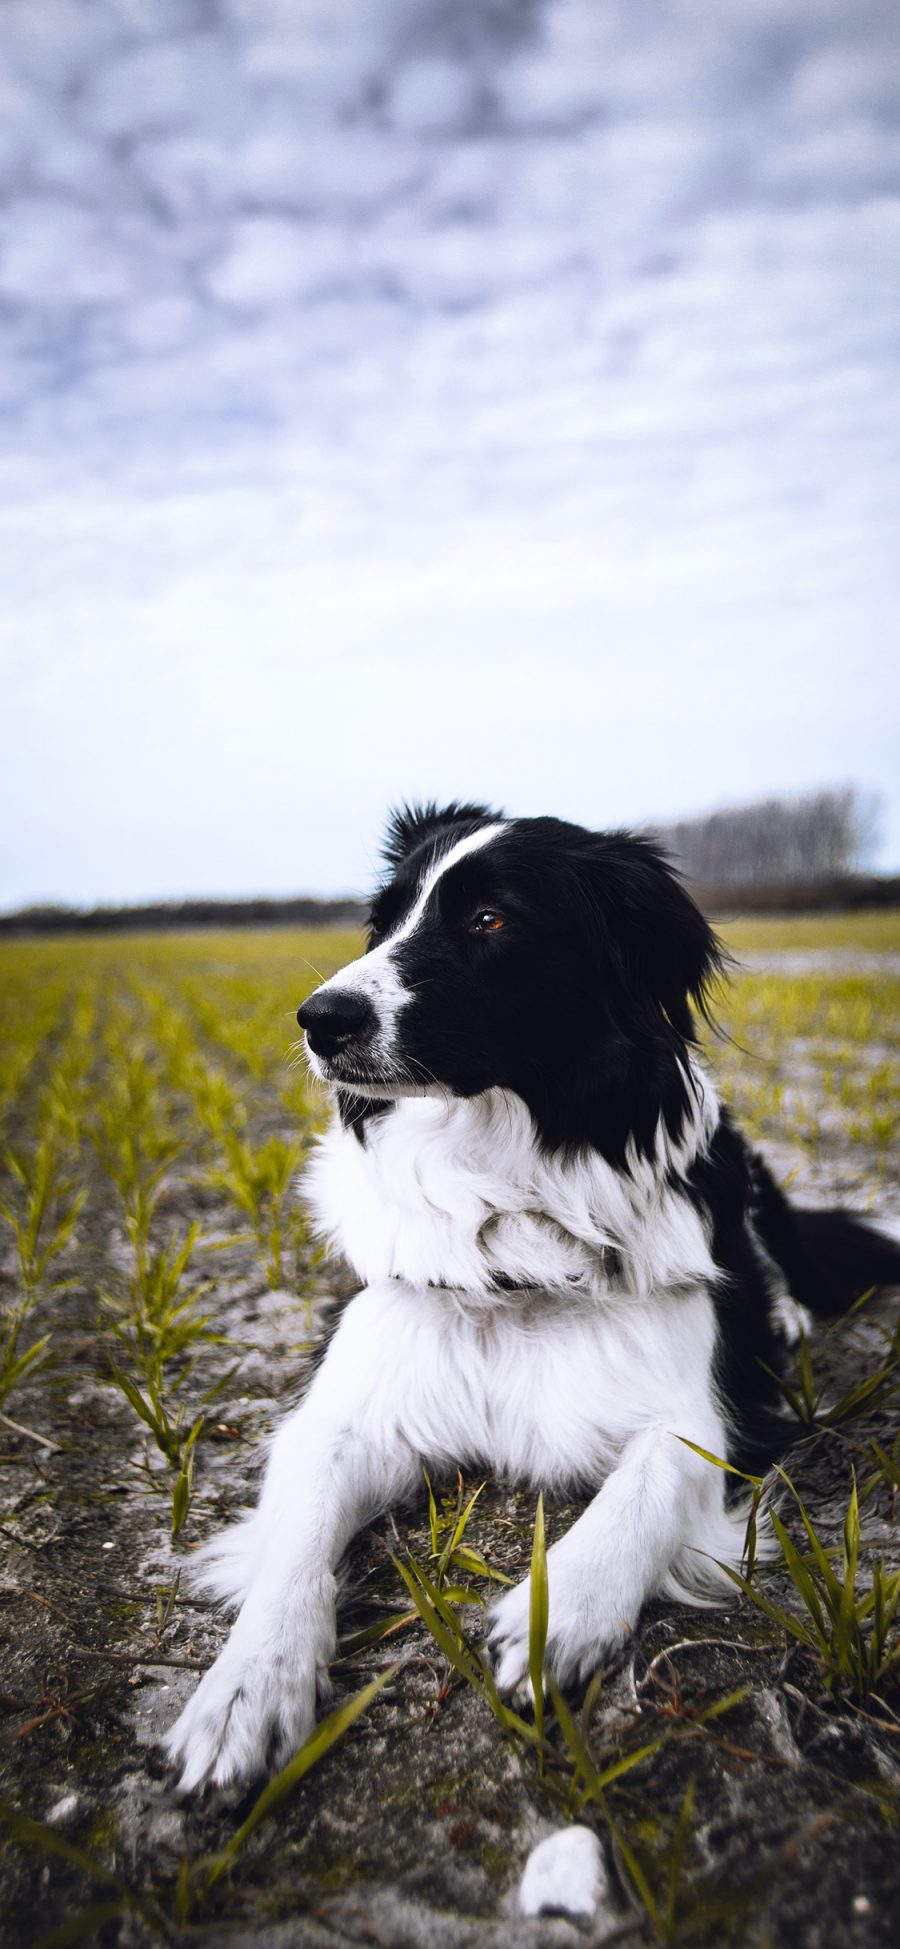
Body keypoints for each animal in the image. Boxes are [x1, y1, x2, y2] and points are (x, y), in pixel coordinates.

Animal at [165, 799, 896, 1785]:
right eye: (384, 920)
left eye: (489, 919)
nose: (319, 1018)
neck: (505, 1203)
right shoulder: (343, 1411)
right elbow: (296, 1540)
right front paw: (245, 1689)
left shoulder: (704, 1415)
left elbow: (645, 1489)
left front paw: (559, 1613)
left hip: (743, 1170)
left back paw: (781, 1313)